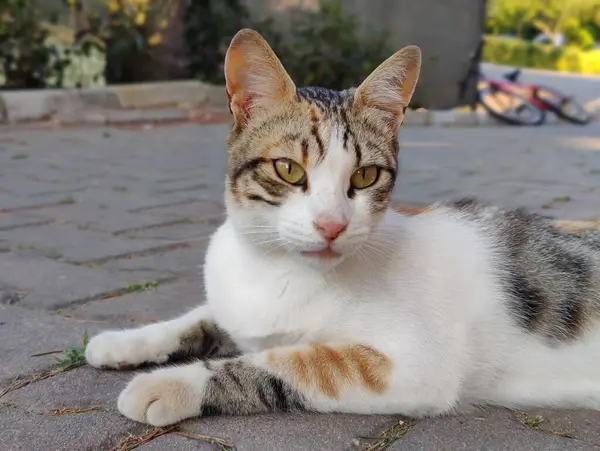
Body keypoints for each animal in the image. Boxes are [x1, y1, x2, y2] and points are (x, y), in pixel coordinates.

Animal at [84, 27, 600, 428]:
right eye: (288, 169)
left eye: (365, 176)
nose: (331, 224)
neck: (275, 270)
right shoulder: (237, 307)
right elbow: (198, 317)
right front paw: (123, 342)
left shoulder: (412, 367)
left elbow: (288, 362)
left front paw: (172, 384)